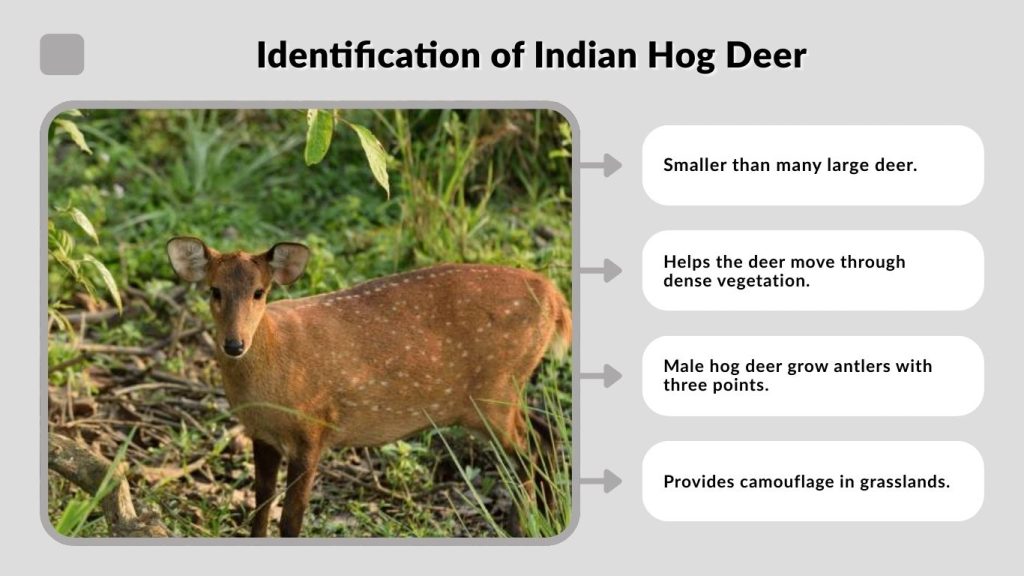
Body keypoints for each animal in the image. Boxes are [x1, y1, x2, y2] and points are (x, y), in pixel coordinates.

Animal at [166, 236, 571, 537]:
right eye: (214, 291)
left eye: (259, 292)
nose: (234, 344)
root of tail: (554, 297)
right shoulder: (261, 434)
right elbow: (261, 506)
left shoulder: (314, 427)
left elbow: (291, 519)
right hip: (504, 391)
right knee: (545, 434)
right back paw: (541, 519)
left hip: (495, 389)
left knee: (531, 448)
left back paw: (527, 524)